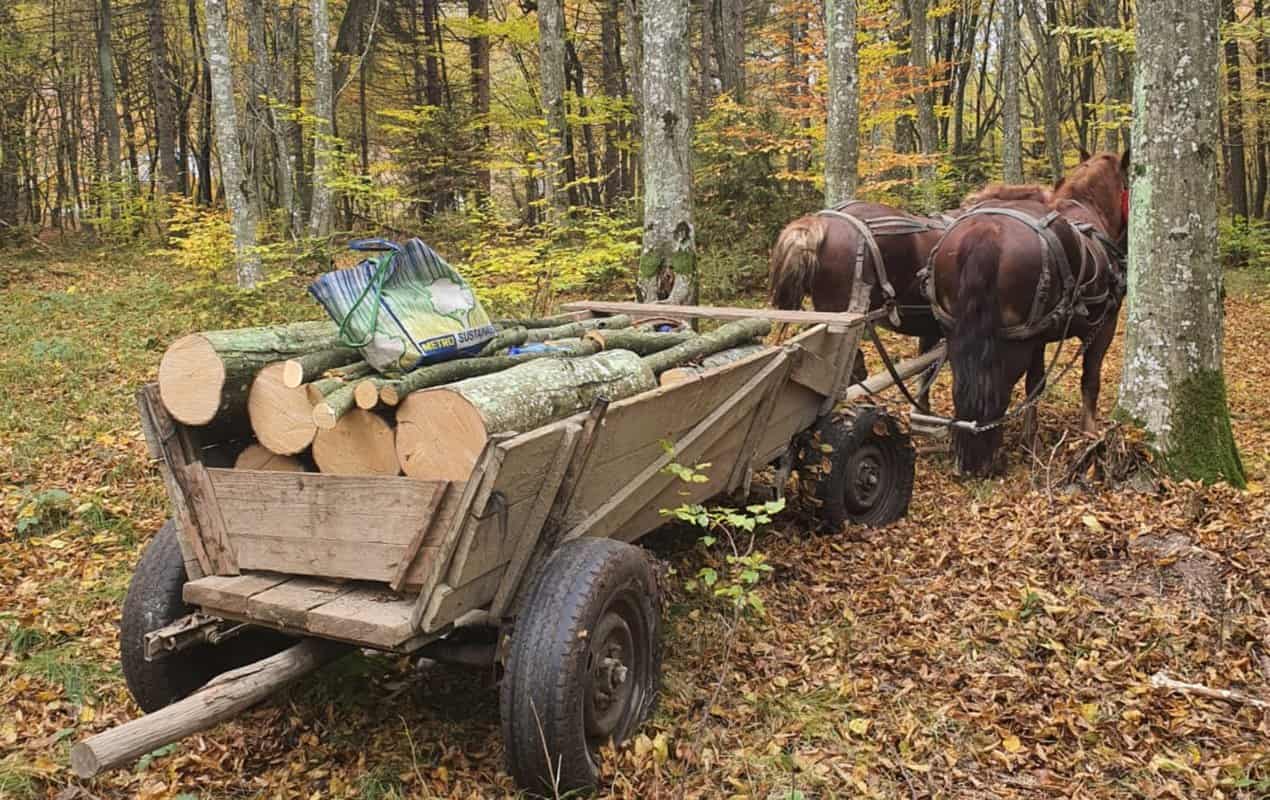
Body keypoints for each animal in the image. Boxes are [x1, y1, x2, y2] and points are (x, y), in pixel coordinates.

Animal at [929, 153, 1127, 472]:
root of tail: (986, 232)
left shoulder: (1040, 337)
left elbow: (1036, 383)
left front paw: (1029, 439)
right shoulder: (1104, 326)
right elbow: (1090, 379)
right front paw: (1089, 433)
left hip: (959, 334)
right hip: (1013, 345)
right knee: (995, 390)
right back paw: (985, 452)